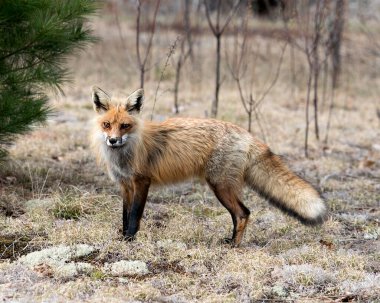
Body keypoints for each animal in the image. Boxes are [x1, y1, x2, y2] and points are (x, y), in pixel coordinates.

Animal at [91, 86, 326, 248]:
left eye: (125, 126)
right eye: (106, 125)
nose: (113, 140)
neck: (124, 155)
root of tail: (246, 133)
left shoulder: (141, 182)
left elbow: (134, 216)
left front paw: (129, 240)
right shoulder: (125, 185)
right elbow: (125, 214)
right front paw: (123, 236)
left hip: (219, 185)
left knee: (243, 213)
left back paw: (234, 245)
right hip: (222, 186)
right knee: (240, 214)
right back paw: (231, 240)